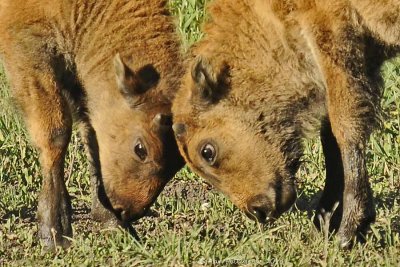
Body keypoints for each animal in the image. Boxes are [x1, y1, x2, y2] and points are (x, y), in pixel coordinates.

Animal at [0, 0, 184, 249]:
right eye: (140, 149)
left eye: (180, 163)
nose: (128, 212)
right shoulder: (30, 49)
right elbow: (56, 133)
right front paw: (55, 233)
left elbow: (91, 136)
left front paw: (113, 224)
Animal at [173, 0, 400, 248]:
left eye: (207, 152)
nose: (258, 212)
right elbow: (330, 137)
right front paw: (325, 222)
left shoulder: (332, 38)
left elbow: (345, 129)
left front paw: (348, 233)